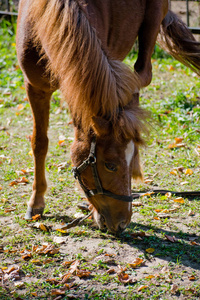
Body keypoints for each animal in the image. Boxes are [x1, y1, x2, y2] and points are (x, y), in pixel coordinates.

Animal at [16, 0, 200, 233]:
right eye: (110, 165)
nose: (122, 223)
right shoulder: (35, 88)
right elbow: (39, 143)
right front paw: (37, 202)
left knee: (141, 74)